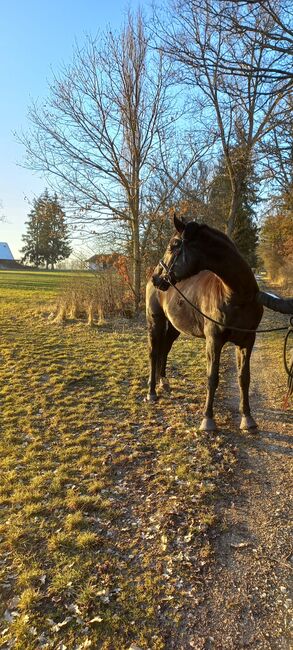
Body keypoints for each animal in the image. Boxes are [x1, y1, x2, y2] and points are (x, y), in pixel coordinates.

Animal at [147, 215, 290, 432]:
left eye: (173, 246)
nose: (157, 277)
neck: (236, 295)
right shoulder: (213, 341)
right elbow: (212, 378)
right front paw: (208, 420)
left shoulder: (247, 341)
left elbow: (244, 378)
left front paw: (247, 418)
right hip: (155, 321)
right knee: (154, 352)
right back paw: (152, 392)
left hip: (173, 327)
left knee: (165, 348)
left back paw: (163, 382)